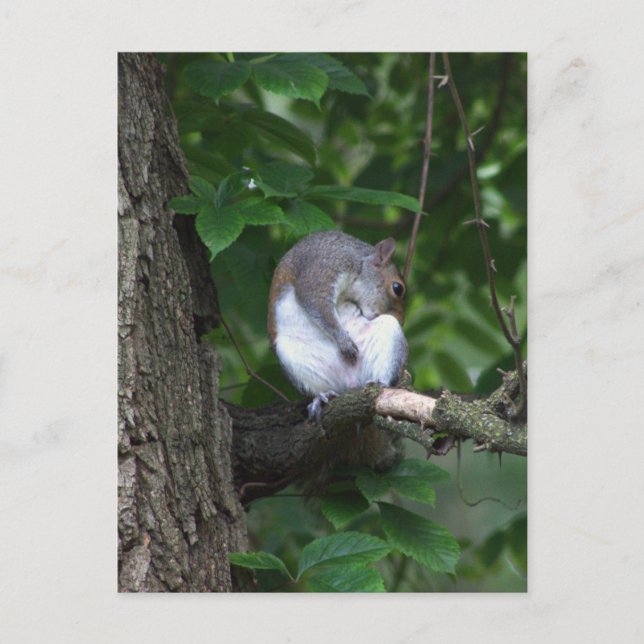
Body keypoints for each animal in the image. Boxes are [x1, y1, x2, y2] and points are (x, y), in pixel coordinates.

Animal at [268, 230, 409, 419]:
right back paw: (321, 397)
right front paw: (344, 341)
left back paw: (380, 382)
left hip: (388, 332)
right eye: (397, 288)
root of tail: (351, 382)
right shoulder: (325, 265)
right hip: (291, 354)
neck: (360, 262)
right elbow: (316, 303)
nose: (401, 321)